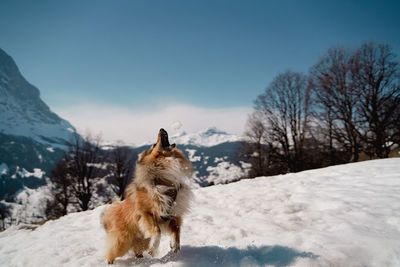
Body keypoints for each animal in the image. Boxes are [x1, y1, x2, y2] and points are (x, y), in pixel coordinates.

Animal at [101, 129, 193, 264]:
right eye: (154, 145)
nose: (162, 129)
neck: (164, 181)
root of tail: (110, 215)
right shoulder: (147, 213)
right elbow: (157, 231)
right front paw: (153, 249)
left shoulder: (174, 213)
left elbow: (176, 230)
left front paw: (174, 245)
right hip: (122, 241)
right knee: (111, 252)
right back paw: (111, 263)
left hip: (141, 241)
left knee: (137, 252)